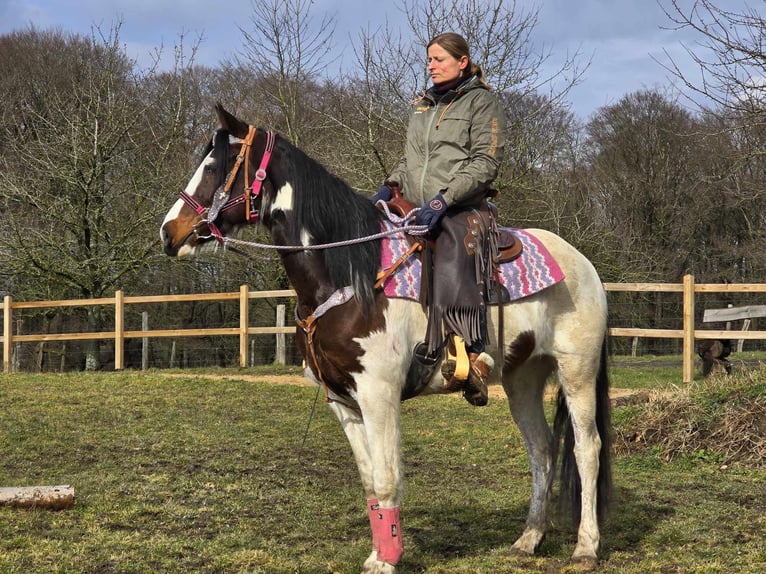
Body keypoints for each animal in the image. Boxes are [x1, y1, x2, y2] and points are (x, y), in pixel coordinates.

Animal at [160, 104, 612, 574]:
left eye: (216, 166)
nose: (169, 233)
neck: (351, 276)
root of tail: (583, 264)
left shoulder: (379, 394)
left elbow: (387, 477)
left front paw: (389, 558)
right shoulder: (343, 401)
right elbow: (369, 482)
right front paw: (379, 552)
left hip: (576, 371)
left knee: (587, 449)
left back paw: (585, 547)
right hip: (522, 376)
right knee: (541, 449)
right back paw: (528, 539)